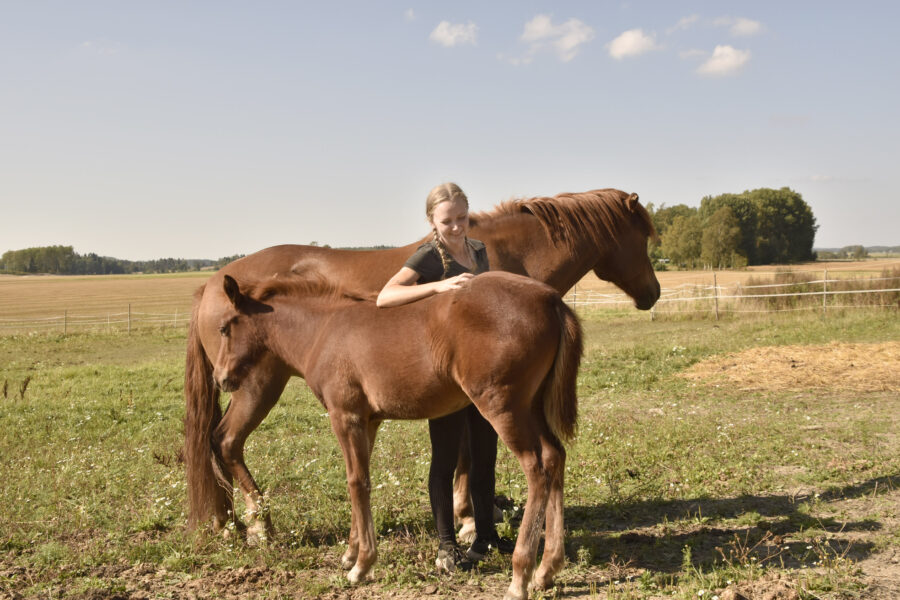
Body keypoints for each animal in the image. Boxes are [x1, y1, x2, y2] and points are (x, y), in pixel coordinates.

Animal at [185, 187, 660, 542]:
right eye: (643, 238)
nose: (653, 292)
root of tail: (211, 284)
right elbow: (466, 455)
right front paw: (466, 519)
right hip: (257, 383)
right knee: (226, 440)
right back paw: (258, 525)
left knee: (218, 443)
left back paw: (230, 525)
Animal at [185, 271, 583, 600]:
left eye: (224, 328)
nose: (222, 378)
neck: (322, 331)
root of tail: (551, 299)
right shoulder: (368, 421)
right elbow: (358, 482)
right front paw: (350, 553)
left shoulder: (344, 416)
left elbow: (356, 482)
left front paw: (362, 565)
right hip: (532, 406)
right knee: (555, 457)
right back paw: (546, 571)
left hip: (502, 406)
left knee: (537, 468)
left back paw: (520, 577)